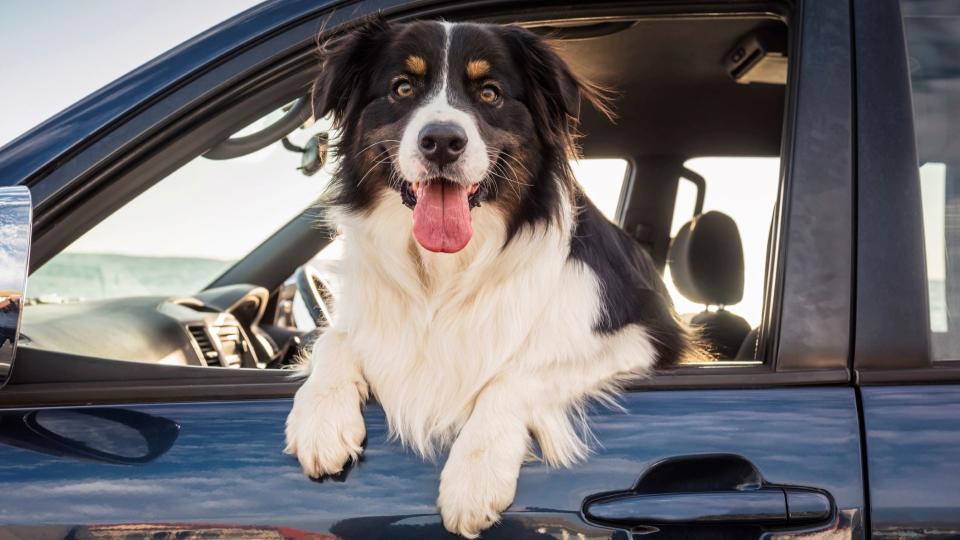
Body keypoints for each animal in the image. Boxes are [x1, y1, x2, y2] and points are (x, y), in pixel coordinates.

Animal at [284, 15, 696, 536]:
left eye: (490, 93)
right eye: (402, 88)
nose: (442, 141)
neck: (444, 273)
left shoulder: (642, 339)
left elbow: (517, 374)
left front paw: (473, 475)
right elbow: (334, 340)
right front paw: (320, 420)